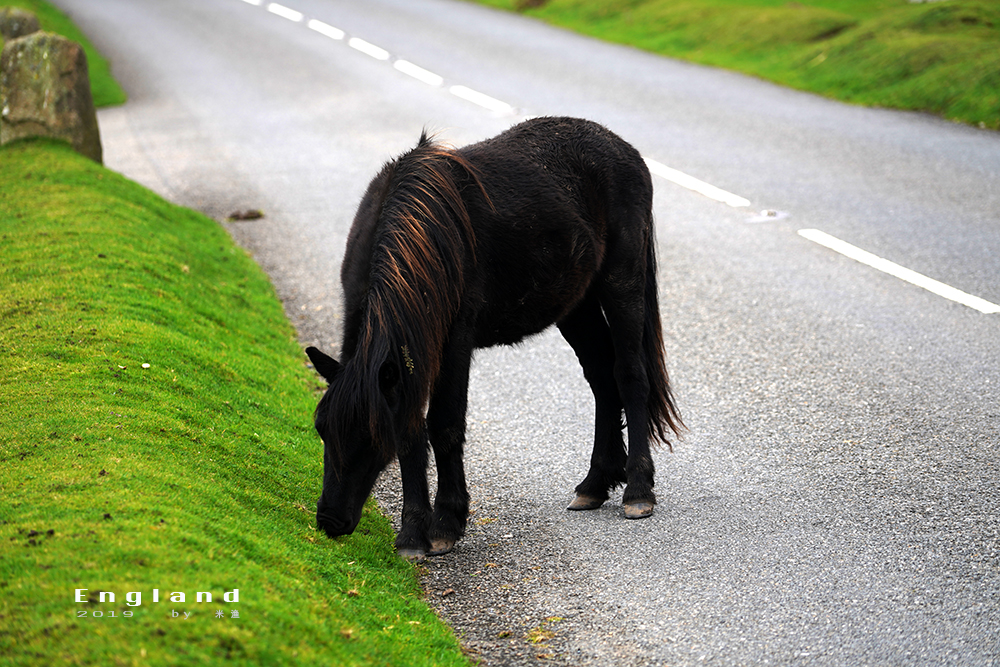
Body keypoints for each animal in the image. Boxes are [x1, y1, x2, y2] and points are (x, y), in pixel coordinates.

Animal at [306, 116, 680, 560]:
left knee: (630, 376)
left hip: (622, 283)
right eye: (322, 428)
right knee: (603, 382)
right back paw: (595, 483)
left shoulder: (453, 346)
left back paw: (637, 490)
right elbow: (414, 431)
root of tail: (623, 148)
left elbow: (444, 426)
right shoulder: (409, 359)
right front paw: (412, 534)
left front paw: (445, 523)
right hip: (578, 306)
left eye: (370, 439)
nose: (330, 521)